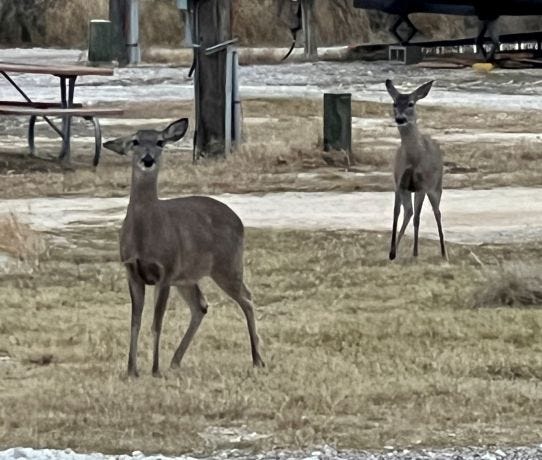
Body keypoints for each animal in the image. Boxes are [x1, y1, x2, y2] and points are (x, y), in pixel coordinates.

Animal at [103, 119, 266, 378]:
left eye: (160, 142)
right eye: (135, 141)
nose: (148, 159)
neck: (143, 236)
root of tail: (238, 219)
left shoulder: (166, 271)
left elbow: (156, 323)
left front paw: (154, 369)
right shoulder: (132, 271)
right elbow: (135, 322)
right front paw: (131, 371)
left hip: (227, 265)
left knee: (247, 299)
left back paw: (258, 360)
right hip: (188, 277)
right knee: (201, 306)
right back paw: (175, 361)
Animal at [386, 80, 450, 262]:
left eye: (410, 103)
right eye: (394, 103)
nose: (400, 119)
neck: (413, 159)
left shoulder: (422, 185)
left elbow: (417, 219)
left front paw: (415, 253)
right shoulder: (399, 183)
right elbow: (396, 214)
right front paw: (392, 252)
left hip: (436, 187)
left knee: (437, 213)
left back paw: (443, 253)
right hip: (410, 190)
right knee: (409, 211)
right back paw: (395, 250)